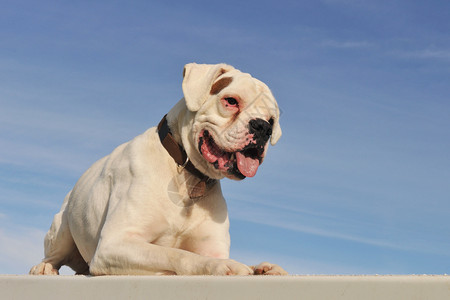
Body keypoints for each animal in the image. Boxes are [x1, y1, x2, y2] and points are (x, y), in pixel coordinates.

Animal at [29, 63, 286, 276]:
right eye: (231, 101)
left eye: (272, 120)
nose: (262, 127)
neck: (188, 177)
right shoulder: (115, 244)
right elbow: (176, 254)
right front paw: (222, 266)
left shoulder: (212, 247)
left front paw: (262, 267)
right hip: (62, 229)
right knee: (54, 255)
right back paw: (44, 268)